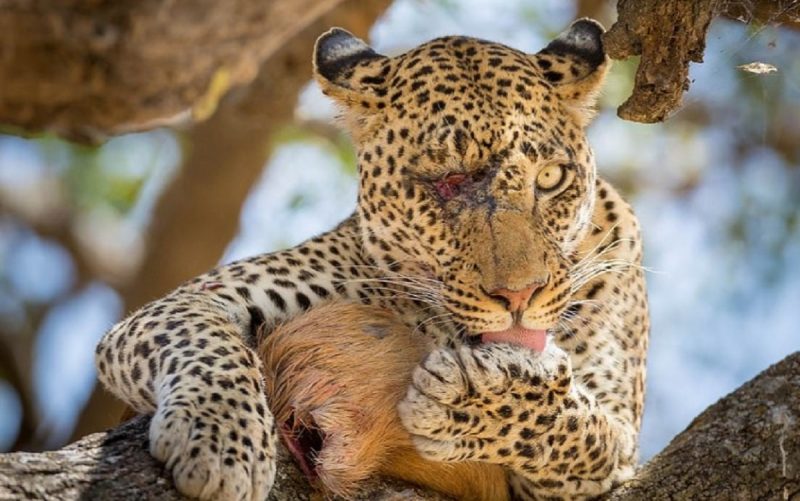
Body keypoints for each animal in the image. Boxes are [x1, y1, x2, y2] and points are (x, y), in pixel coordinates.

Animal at [94, 18, 649, 501]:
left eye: (550, 179)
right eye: (444, 183)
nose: (520, 295)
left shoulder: (616, 445)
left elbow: (575, 425)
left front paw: (469, 395)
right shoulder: (185, 304)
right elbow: (205, 344)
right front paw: (219, 440)